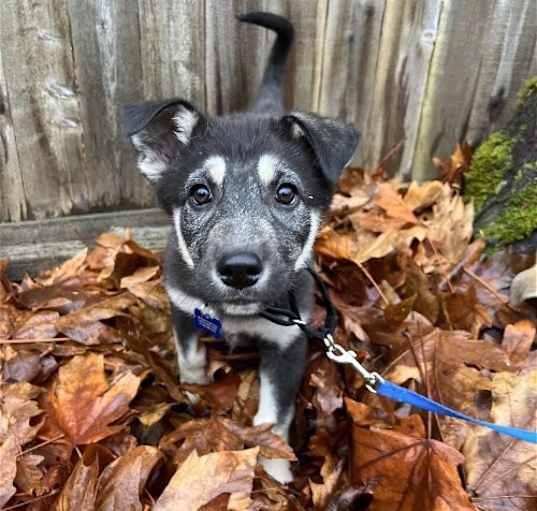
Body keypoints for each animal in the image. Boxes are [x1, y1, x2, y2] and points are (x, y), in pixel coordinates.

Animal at [123, 13, 358, 484]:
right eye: (199, 194)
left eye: (286, 193)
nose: (239, 269)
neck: (238, 313)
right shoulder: (184, 310)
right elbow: (191, 361)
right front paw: (194, 400)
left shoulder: (288, 344)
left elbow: (273, 418)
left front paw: (276, 472)